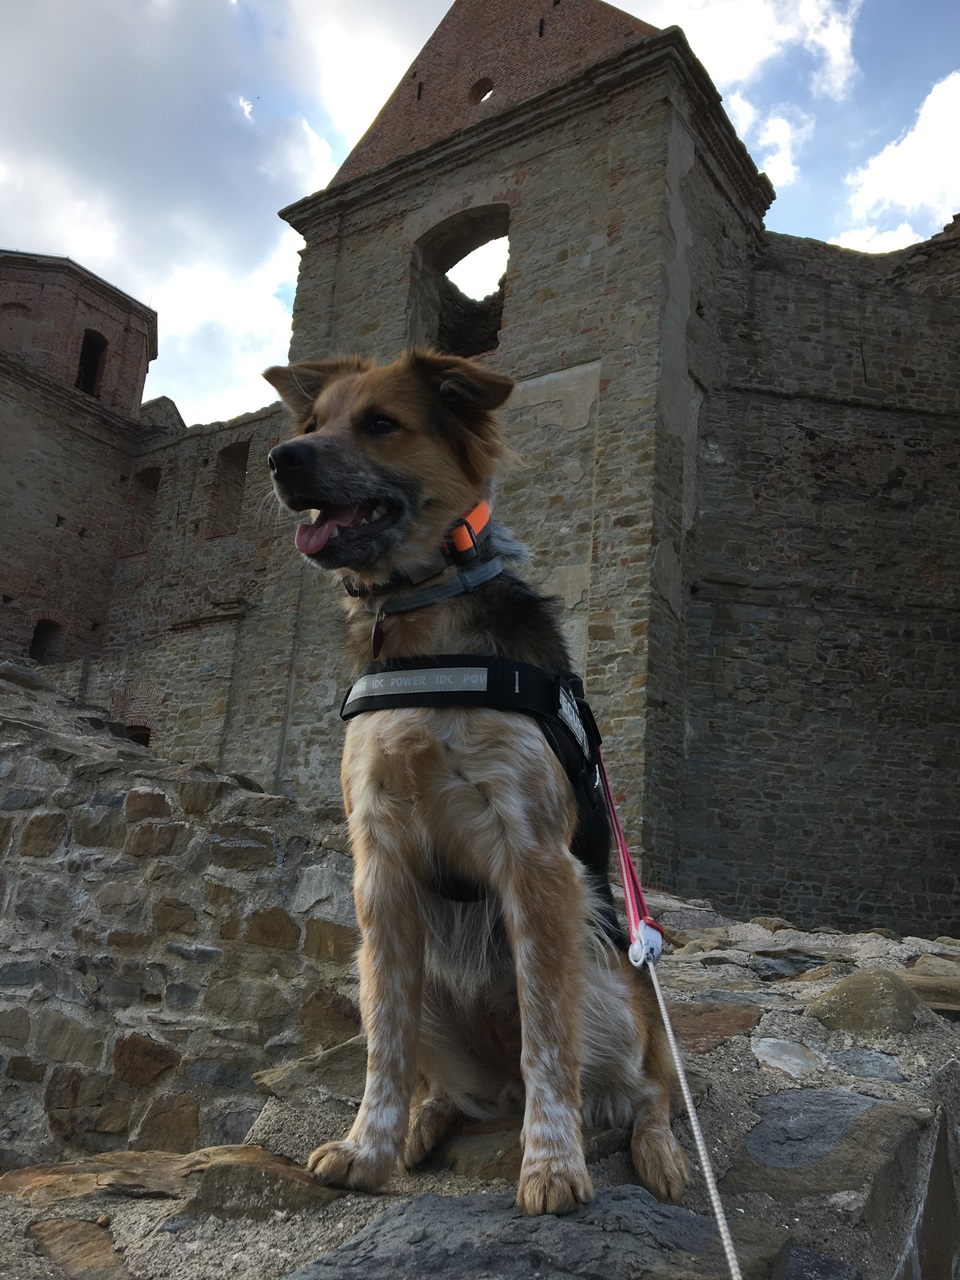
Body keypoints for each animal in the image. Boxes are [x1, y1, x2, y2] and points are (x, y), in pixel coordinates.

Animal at [264, 348, 688, 1215]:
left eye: (381, 423)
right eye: (312, 422)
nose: (280, 459)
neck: (424, 625)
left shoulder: (535, 858)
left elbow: (549, 1045)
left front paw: (553, 1165)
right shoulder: (381, 868)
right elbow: (386, 1052)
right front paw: (369, 1147)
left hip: (609, 985)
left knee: (642, 1089)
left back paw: (655, 1151)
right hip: (392, 971)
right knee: (459, 1089)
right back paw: (426, 1124)